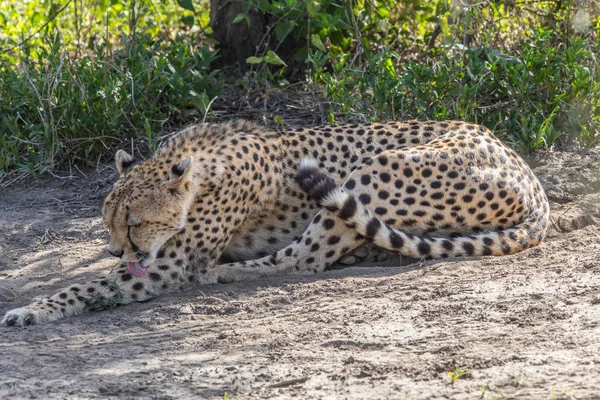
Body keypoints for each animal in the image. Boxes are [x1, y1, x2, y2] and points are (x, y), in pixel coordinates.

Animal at [2, 119, 552, 324]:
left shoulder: (167, 264)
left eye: (135, 224)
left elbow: (85, 285)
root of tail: (521, 163)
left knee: (305, 258)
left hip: (370, 172)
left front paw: (32, 309)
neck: (192, 165)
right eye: (109, 222)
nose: (119, 250)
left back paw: (225, 272)